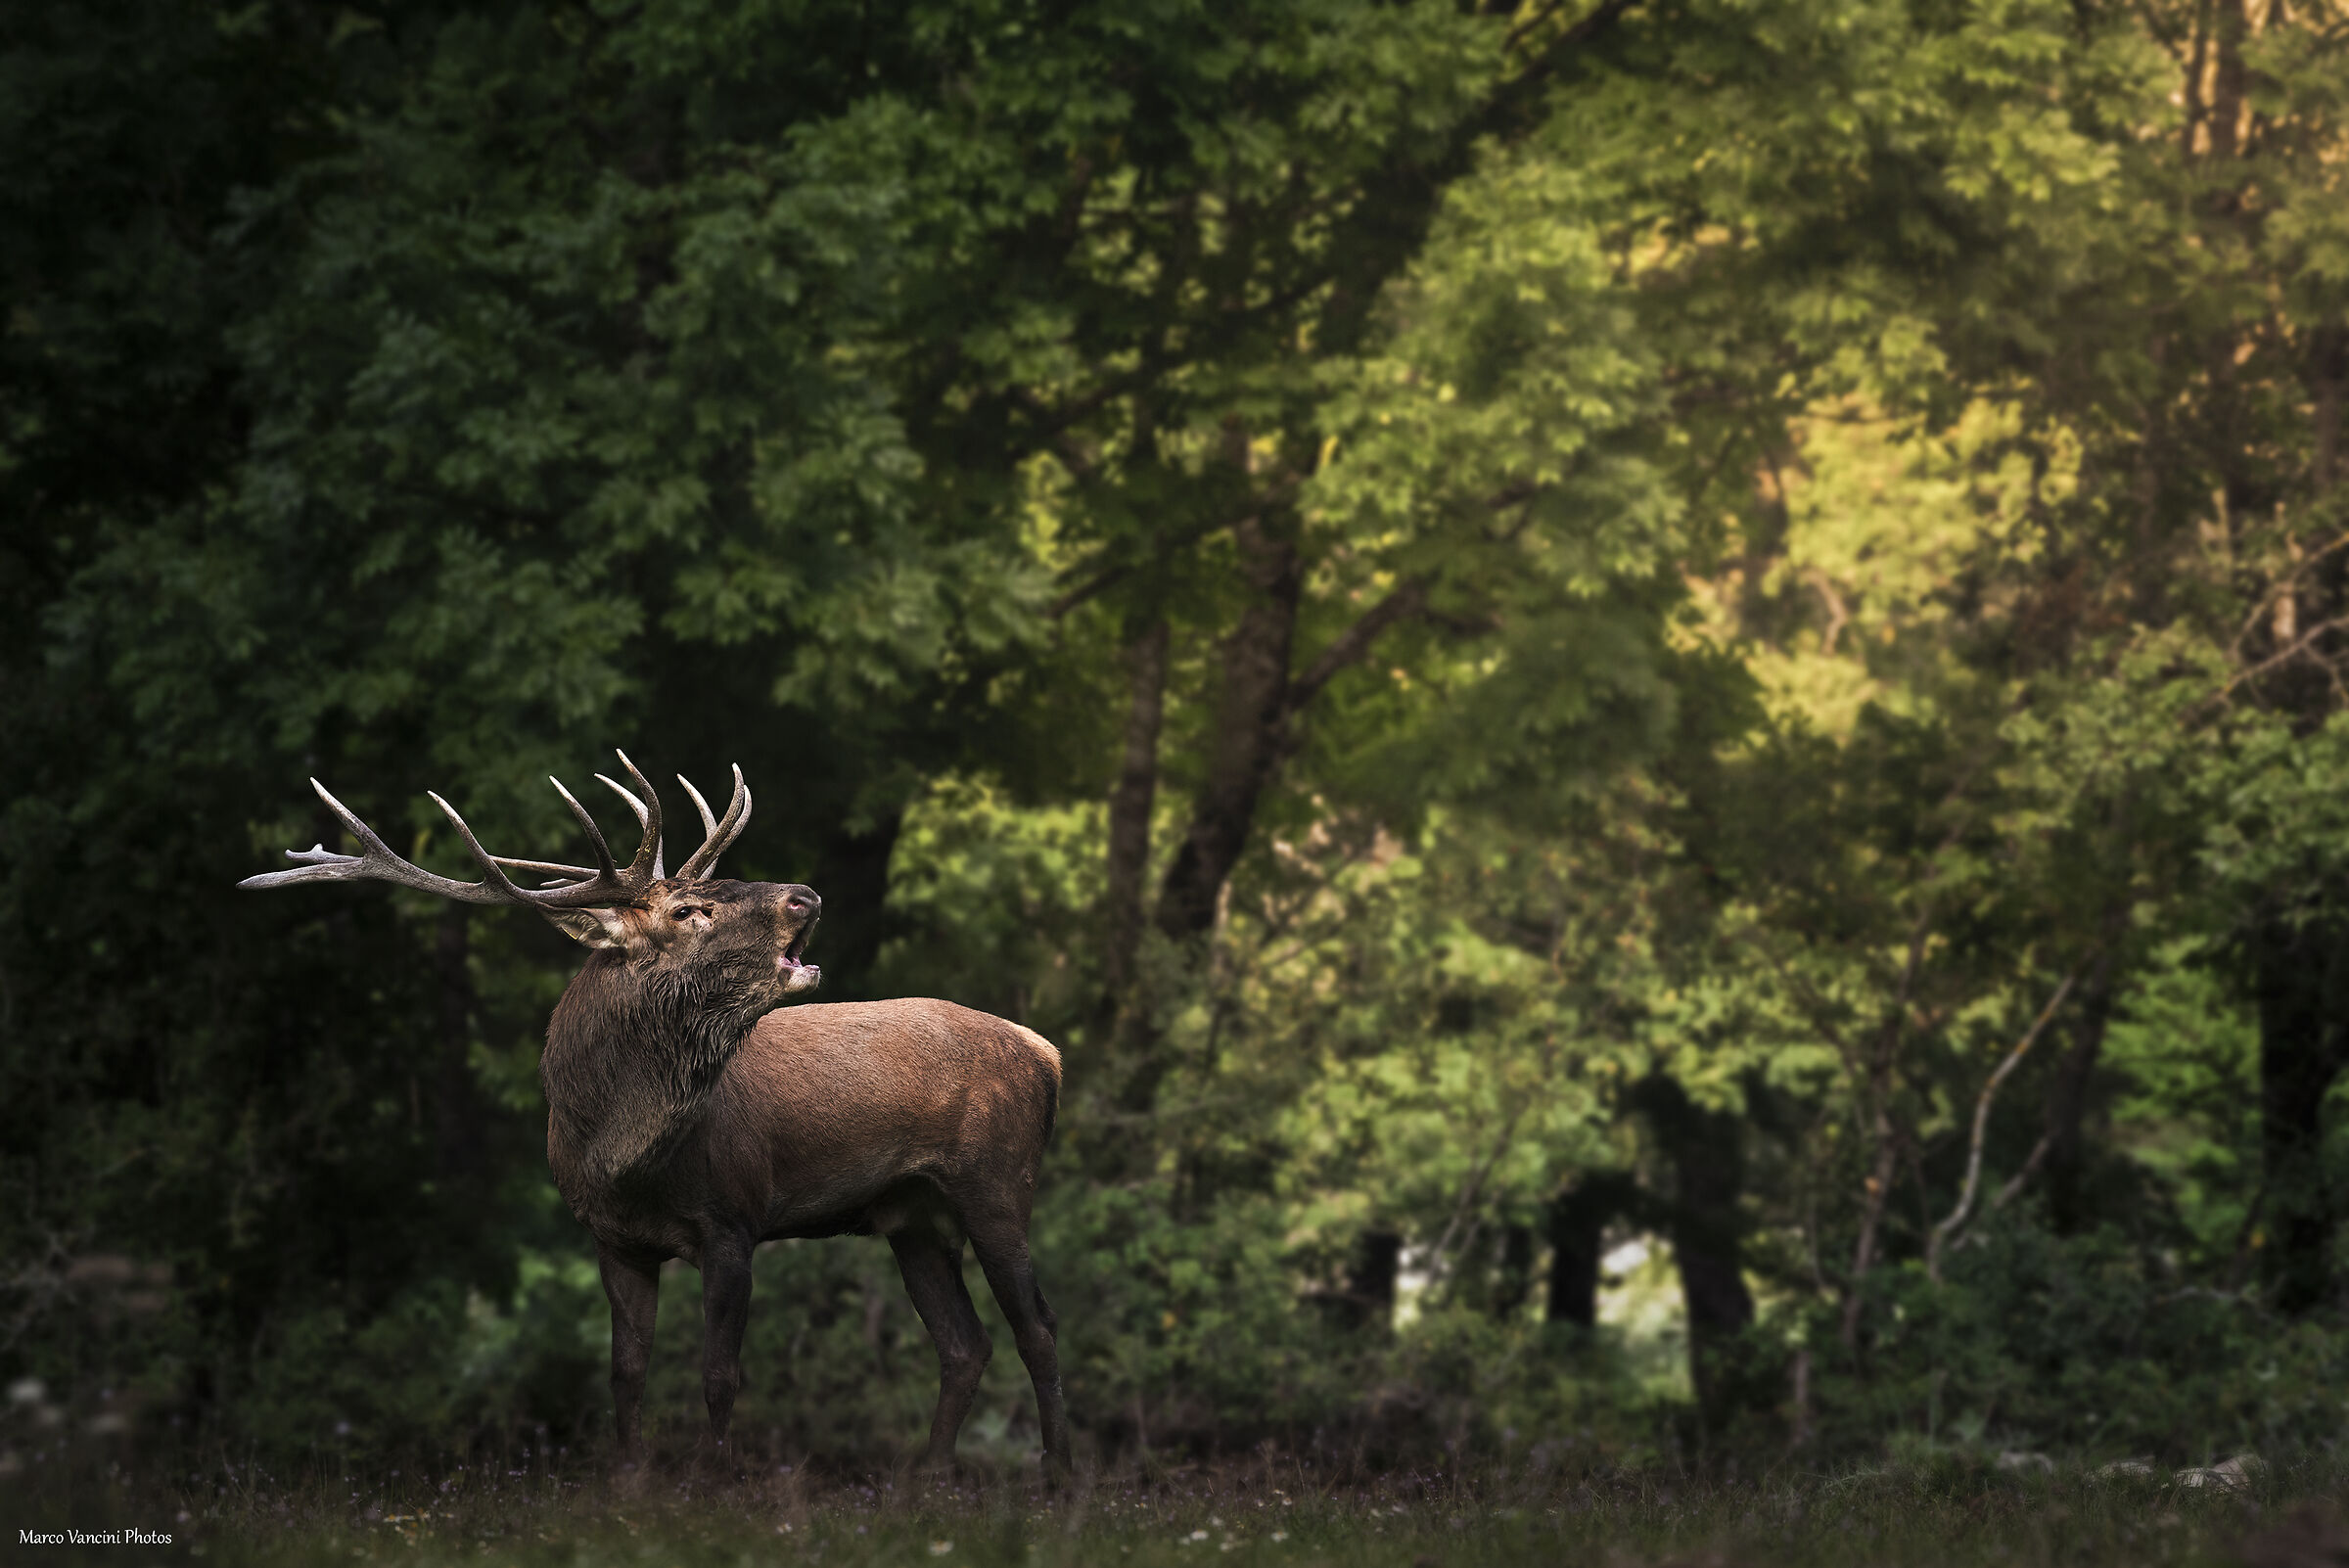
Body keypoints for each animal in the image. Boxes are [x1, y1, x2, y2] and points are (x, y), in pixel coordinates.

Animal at [239, 753, 1069, 1480]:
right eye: (690, 908)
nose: (805, 895)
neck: (622, 1158)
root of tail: (1046, 1050)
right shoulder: (612, 1240)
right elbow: (625, 1372)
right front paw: (629, 1485)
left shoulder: (734, 1220)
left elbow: (719, 1375)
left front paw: (709, 1486)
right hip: (911, 1214)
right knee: (964, 1346)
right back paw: (927, 1483)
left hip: (998, 1182)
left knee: (1037, 1329)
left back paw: (1058, 1482)